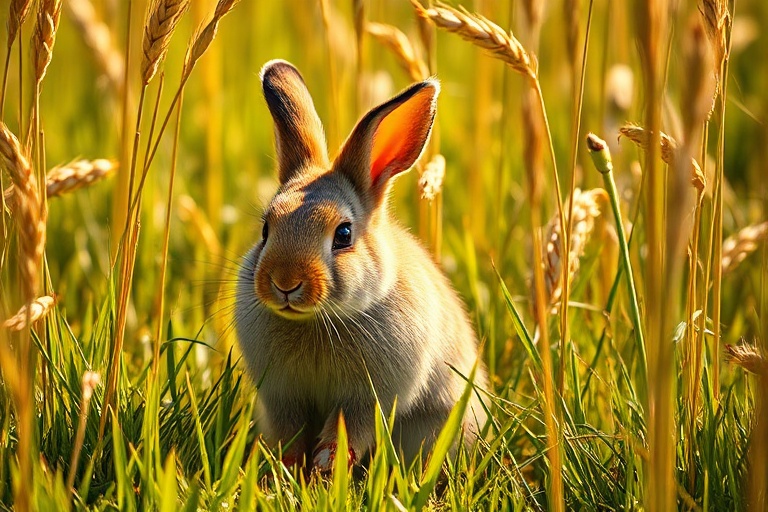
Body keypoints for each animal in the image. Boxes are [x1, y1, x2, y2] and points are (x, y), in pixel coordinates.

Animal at [235, 59, 487, 471]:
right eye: (266, 229)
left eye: (343, 234)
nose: (285, 283)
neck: (318, 321)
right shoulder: (283, 397)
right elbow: (292, 436)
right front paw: (287, 471)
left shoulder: (367, 400)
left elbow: (346, 435)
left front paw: (324, 470)